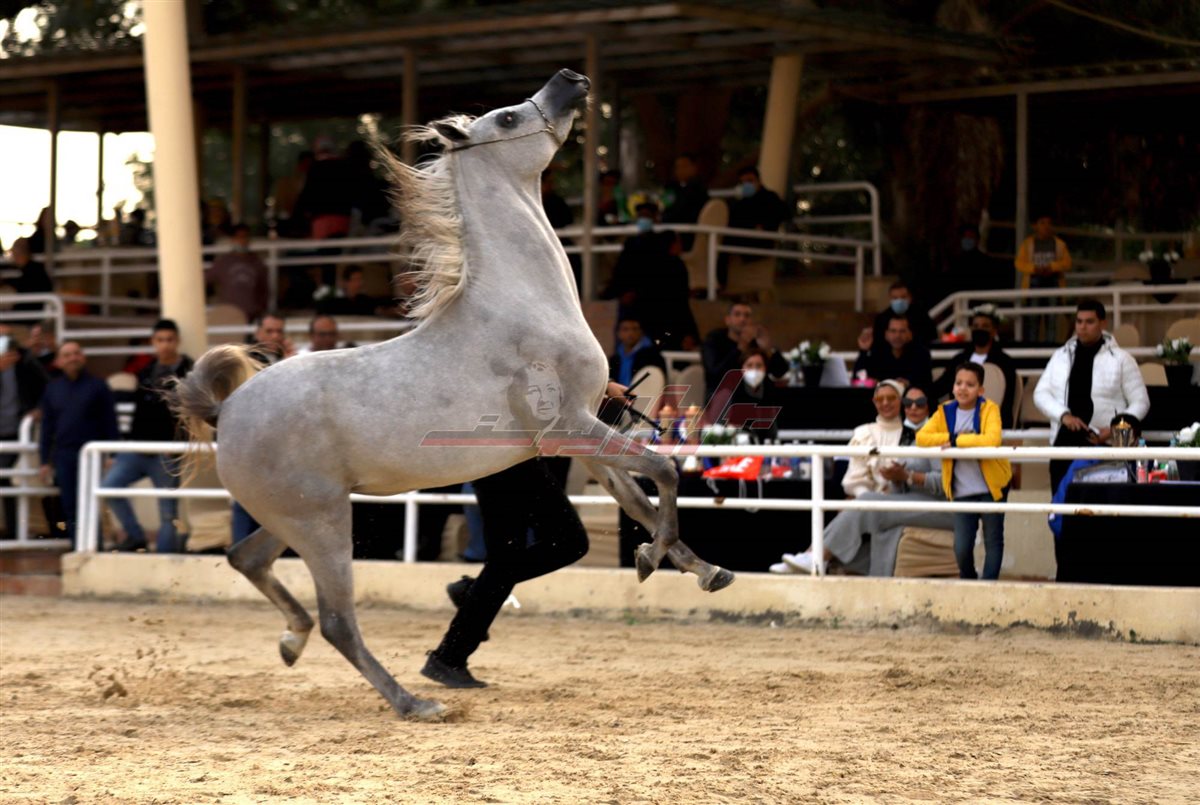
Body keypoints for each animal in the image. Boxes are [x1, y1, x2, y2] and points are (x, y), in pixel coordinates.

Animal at [170, 70, 733, 721]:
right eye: (509, 117)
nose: (569, 80)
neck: (522, 303)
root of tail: (227, 410)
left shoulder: (583, 438)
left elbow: (640, 498)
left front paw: (704, 569)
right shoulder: (569, 428)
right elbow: (664, 471)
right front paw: (651, 559)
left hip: (297, 516)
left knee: (248, 560)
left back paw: (294, 640)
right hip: (322, 523)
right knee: (338, 620)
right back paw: (414, 702)